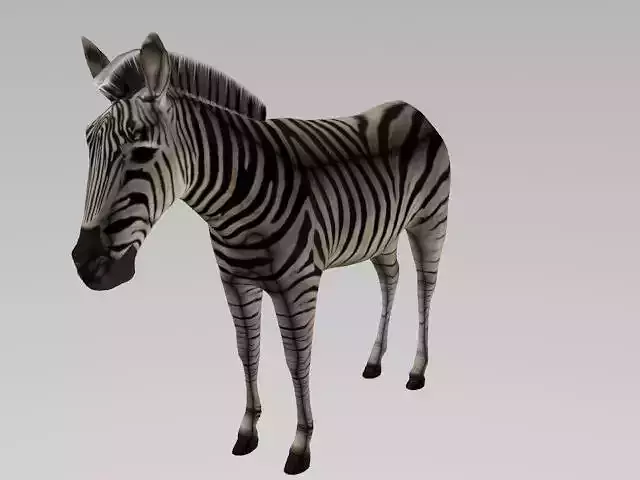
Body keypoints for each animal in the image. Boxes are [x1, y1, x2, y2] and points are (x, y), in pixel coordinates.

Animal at [71, 32, 451, 475]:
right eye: (88, 144)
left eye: (142, 151)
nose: (85, 264)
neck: (234, 201)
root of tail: (411, 107)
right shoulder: (235, 282)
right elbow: (247, 351)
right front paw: (247, 431)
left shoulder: (297, 284)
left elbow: (296, 360)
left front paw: (300, 447)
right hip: (382, 234)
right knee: (391, 280)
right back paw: (374, 362)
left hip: (429, 222)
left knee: (425, 290)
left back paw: (416, 371)